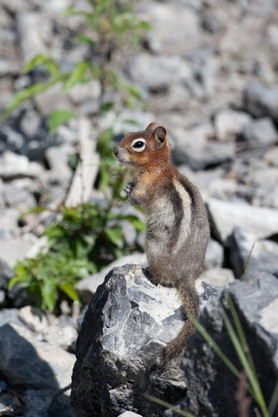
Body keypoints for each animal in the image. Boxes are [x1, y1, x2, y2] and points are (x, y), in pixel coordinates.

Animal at [113, 120, 211, 360]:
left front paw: (129, 192)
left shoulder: (147, 188)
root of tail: (186, 276)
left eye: (138, 144)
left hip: (152, 244)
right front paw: (127, 185)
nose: (114, 150)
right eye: (128, 134)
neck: (157, 167)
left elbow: (138, 198)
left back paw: (149, 273)